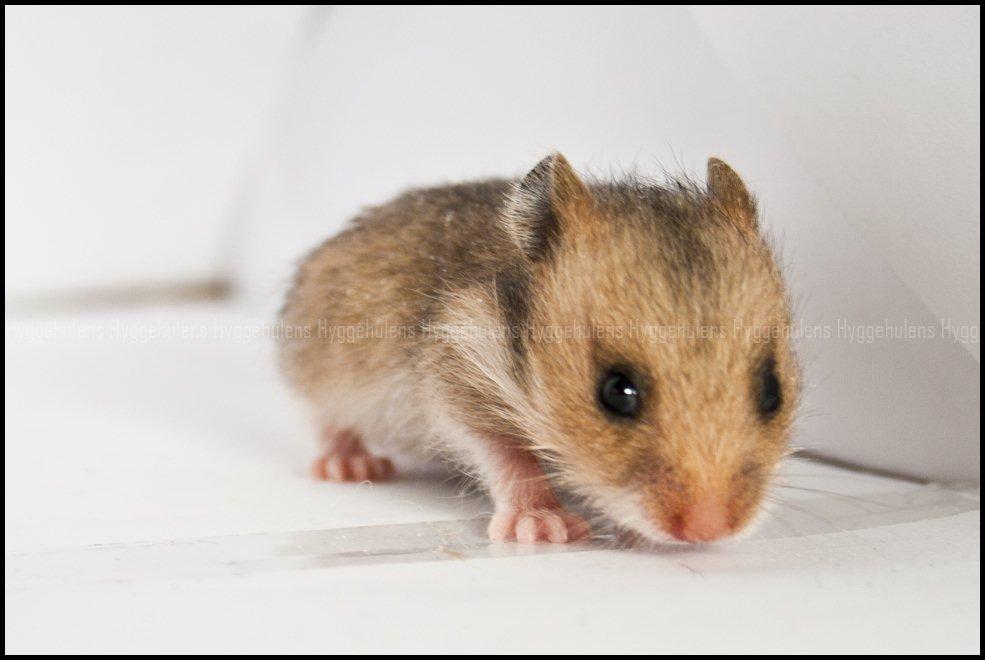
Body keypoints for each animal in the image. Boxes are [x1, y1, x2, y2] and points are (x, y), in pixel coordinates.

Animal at [278, 153, 800, 544]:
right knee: (325, 420)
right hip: (319, 369)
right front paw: (547, 529)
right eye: (616, 392)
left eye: (772, 392)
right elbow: (510, 455)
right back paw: (350, 466)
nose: (710, 531)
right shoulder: (455, 377)